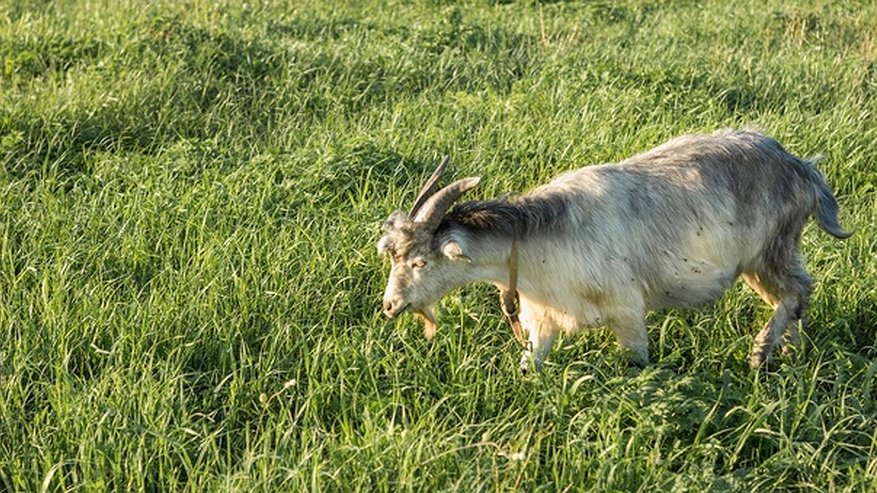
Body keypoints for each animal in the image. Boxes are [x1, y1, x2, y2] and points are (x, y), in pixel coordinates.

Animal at [374, 129, 848, 370]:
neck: (540, 237)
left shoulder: (626, 311)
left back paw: (761, 352)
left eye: (420, 260)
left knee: (797, 291)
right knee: (795, 298)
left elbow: (636, 362)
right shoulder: (542, 321)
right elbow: (531, 366)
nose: (389, 305)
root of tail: (802, 167)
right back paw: (788, 352)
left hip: (771, 250)